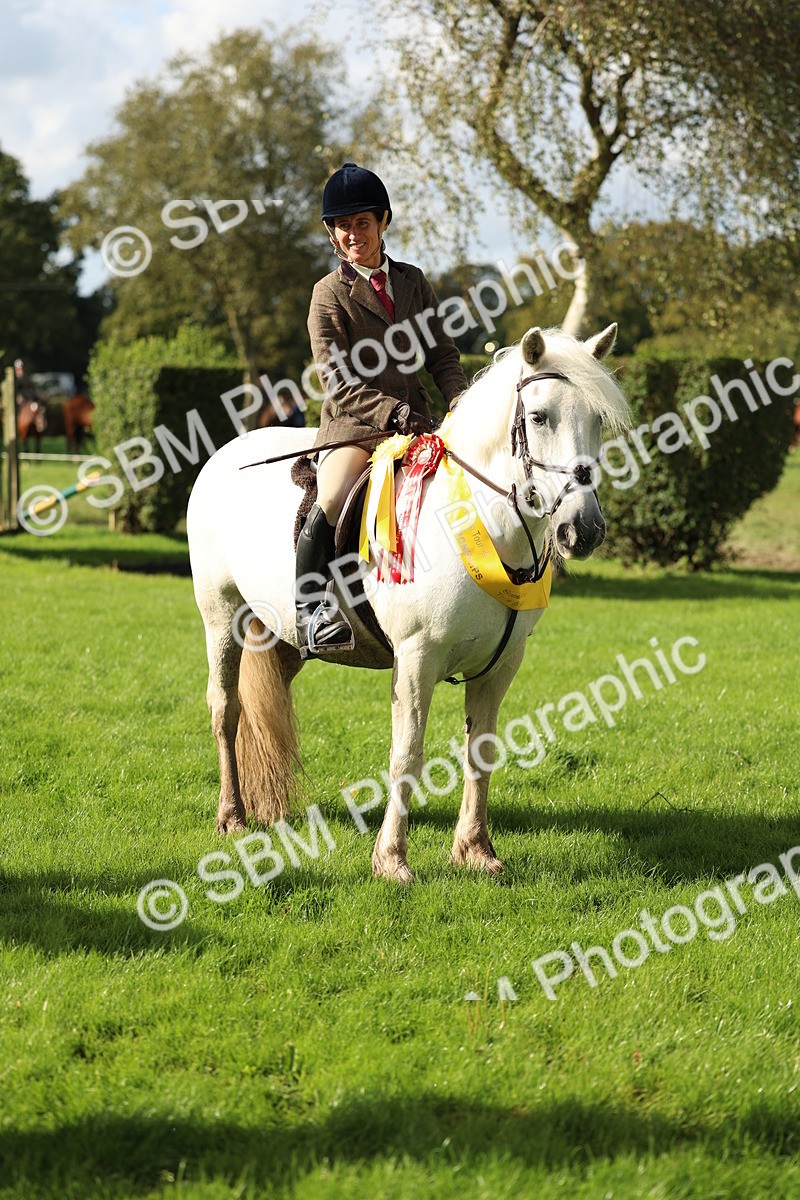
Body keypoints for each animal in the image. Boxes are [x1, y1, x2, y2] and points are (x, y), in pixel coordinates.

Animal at [187, 324, 629, 882]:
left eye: (597, 420)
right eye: (538, 417)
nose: (583, 530)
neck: (476, 523)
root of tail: (225, 453)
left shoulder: (502, 664)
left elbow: (482, 750)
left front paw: (475, 850)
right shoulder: (416, 660)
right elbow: (407, 756)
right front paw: (392, 859)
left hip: (282, 636)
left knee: (265, 711)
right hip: (220, 616)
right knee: (225, 708)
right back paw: (232, 816)